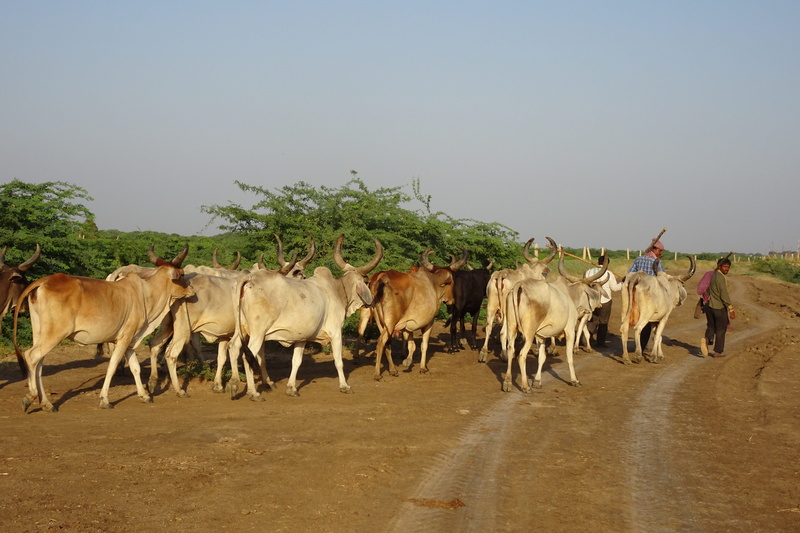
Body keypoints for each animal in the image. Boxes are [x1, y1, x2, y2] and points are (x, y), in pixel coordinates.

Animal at [14, 245, 195, 411]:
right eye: (182, 274)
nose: (192, 290)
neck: (145, 295)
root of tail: (45, 280)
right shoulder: (124, 338)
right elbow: (112, 366)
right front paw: (105, 400)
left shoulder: (130, 341)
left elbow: (135, 368)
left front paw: (144, 395)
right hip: (55, 334)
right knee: (31, 356)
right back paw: (31, 397)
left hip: (40, 332)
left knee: (39, 363)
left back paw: (46, 403)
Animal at [234, 234, 383, 401]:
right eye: (366, 281)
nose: (371, 302)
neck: (337, 290)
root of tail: (249, 279)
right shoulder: (336, 333)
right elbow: (338, 361)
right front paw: (344, 386)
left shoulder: (301, 338)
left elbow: (296, 361)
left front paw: (291, 388)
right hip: (258, 334)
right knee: (247, 357)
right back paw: (253, 392)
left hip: (241, 331)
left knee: (233, 349)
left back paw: (233, 385)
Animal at [369, 247, 468, 380]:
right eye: (451, 281)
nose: (451, 300)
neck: (432, 284)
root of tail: (381, 277)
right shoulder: (429, 322)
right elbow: (424, 345)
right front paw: (423, 368)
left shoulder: (407, 326)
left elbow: (411, 345)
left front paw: (408, 361)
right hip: (390, 322)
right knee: (381, 342)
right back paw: (377, 374)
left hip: (381, 322)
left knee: (387, 344)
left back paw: (393, 370)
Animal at [501, 239, 582, 392]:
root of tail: (519, 286)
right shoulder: (566, 330)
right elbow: (567, 356)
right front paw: (574, 380)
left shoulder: (540, 334)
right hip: (528, 333)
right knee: (521, 355)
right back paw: (525, 386)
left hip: (512, 327)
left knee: (510, 349)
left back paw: (507, 382)